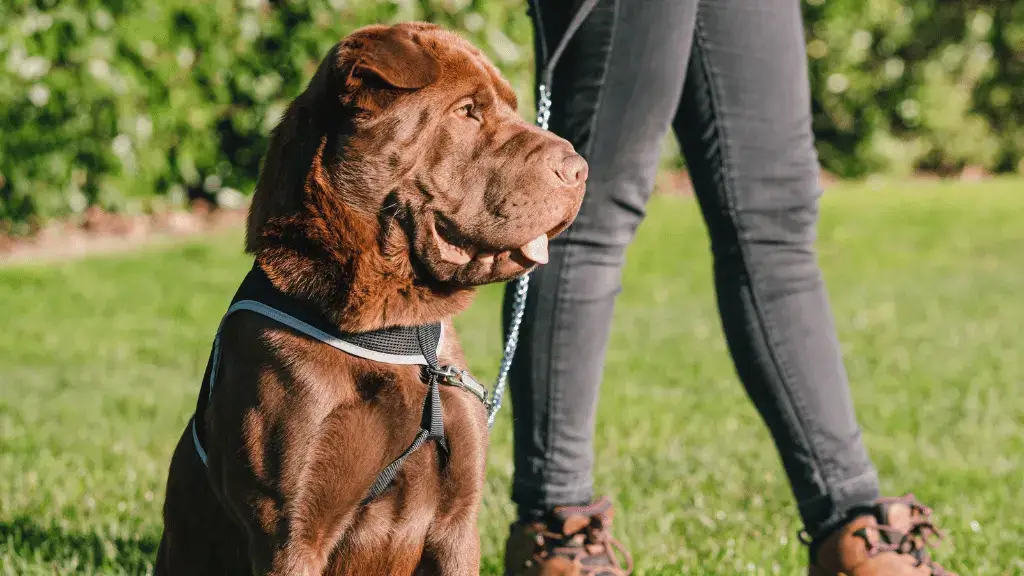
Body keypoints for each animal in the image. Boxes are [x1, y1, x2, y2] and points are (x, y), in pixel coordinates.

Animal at [152, 20, 585, 569]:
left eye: (511, 106)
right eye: (467, 110)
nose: (580, 169)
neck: (391, 327)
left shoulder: (458, 523)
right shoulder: (291, 531)